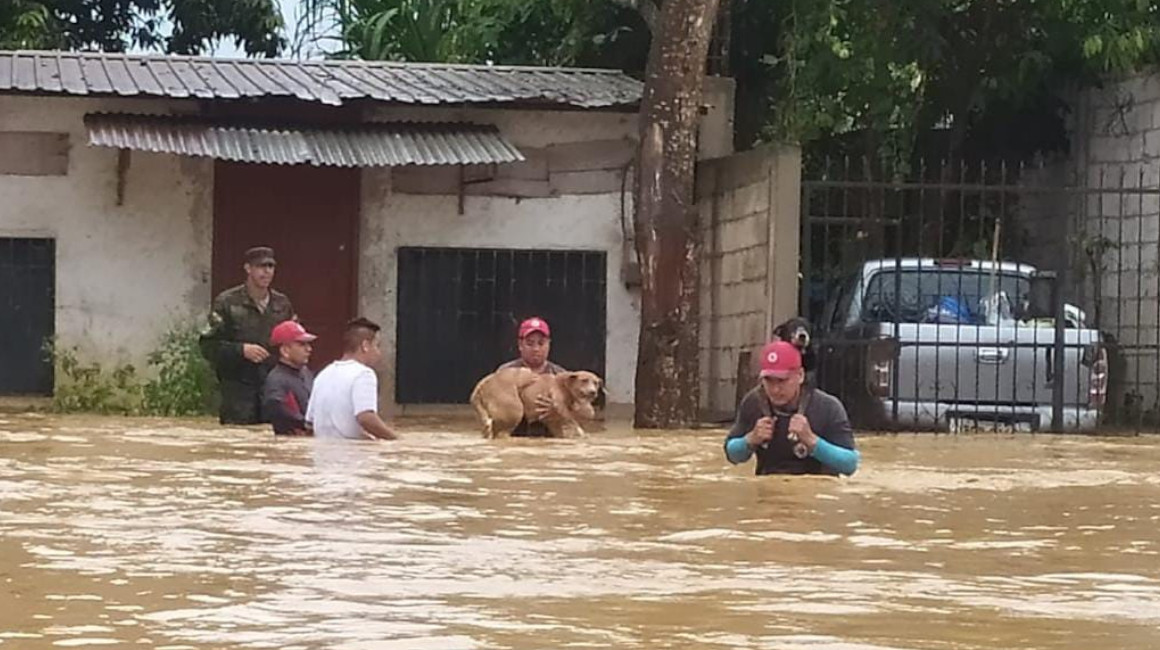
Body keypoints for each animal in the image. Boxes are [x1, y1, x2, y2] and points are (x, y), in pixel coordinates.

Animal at [466, 369, 603, 438]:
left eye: (596, 382)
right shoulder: (557, 403)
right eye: (584, 380)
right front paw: (581, 432)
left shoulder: (554, 422)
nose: (593, 392)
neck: (564, 385)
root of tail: (484, 383)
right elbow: (570, 418)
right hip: (514, 410)